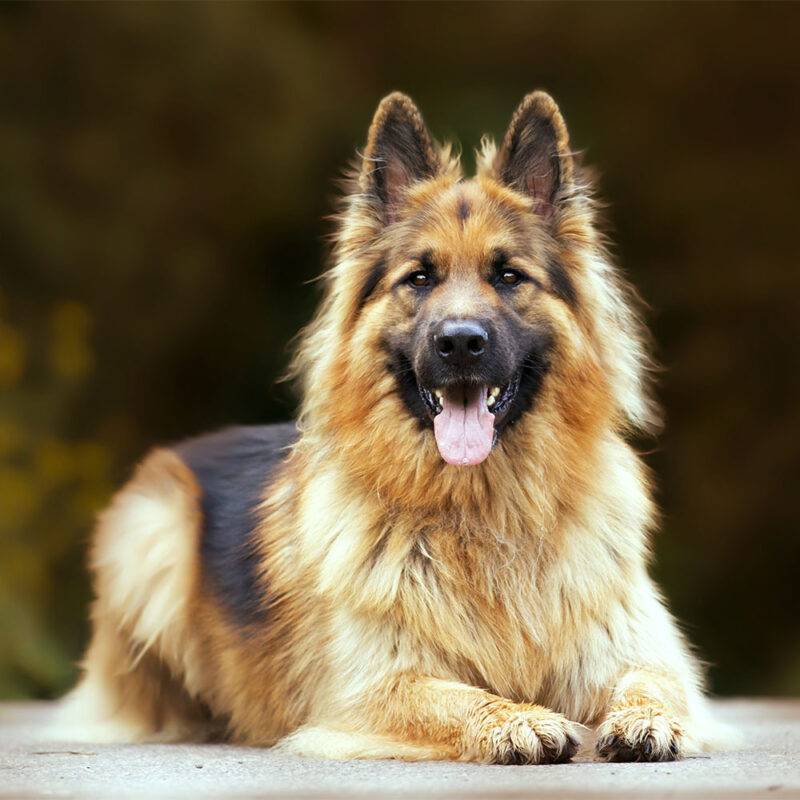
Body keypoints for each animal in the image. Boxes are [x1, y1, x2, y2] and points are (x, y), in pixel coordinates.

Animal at [61, 92, 724, 764]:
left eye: (508, 276)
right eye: (420, 278)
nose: (460, 343)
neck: (482, 512)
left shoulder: (631, 648)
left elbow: (653, 680)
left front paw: (647, 719)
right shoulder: (371, 687)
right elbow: (454, 696)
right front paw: (516, 719)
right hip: (155, 535)